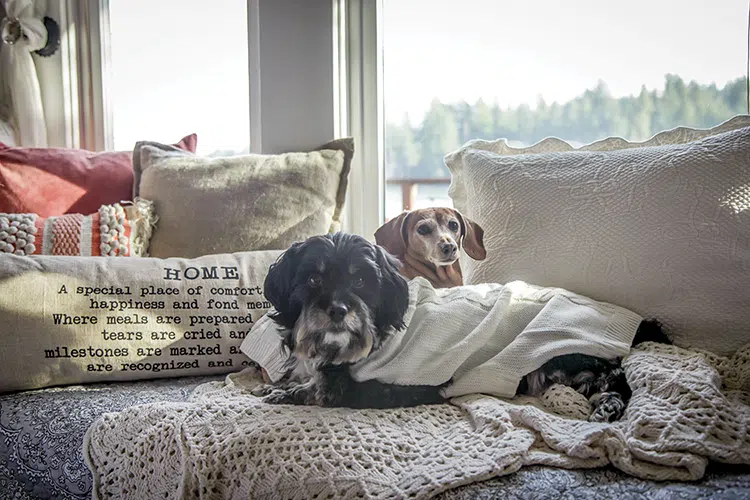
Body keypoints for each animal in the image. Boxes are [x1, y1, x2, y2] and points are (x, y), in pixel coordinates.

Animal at [258, 232, 668, 420]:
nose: (338, 310)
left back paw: (608, 407)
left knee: (618, 383)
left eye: (360, 281)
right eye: (313, 280)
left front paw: (290, 393)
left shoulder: (387, 388)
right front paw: (281, 385)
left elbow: (323, 390)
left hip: (567, 355)